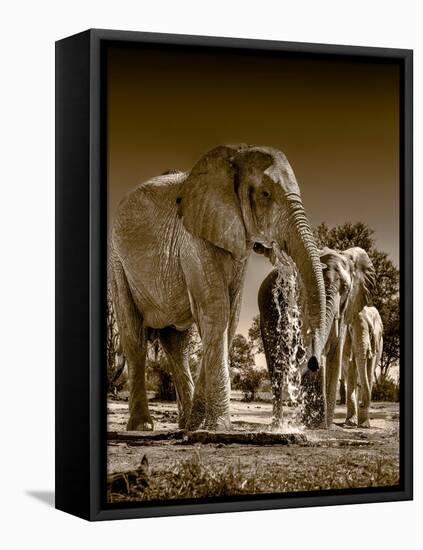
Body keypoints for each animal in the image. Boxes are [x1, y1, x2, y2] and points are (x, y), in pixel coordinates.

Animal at [110, 144, 328, 434]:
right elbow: (217, 311)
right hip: (118, 263)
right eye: (266, 194)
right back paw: (142, 426)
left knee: (176, 344)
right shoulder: (194, 239)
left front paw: (202, 425)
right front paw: (219, 426)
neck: (235, 157)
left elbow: (229, 317)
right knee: (133, 336)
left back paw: (186, 425)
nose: (312, 362)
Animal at [258, 246, 378, 432]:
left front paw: (326, 426)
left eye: (345, 287)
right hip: (266, 312)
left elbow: (336, 353)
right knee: (275, 361)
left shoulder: (345, 310)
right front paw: (317, 424)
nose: (313, 363)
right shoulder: (301, 303)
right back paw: (277, 425)